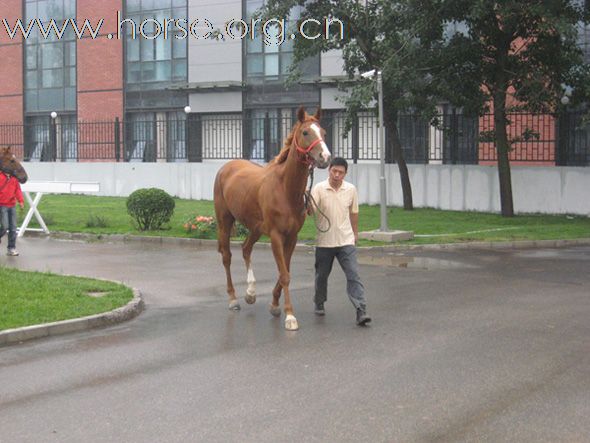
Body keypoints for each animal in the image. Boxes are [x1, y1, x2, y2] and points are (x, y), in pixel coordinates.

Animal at [214, 106, 332, 330]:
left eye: (323, 132)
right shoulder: (276, 236)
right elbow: (284, 275)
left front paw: (275, 305)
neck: (285, 189)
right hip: (225, 222)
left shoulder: (292, 237)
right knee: (226, 257)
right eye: (305, 132)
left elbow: (285, 270)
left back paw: (251, 293)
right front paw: (290, 316)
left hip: (255, 228)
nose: (325, 157)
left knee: (246, 249)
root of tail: (227, 167)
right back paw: (233, 299)